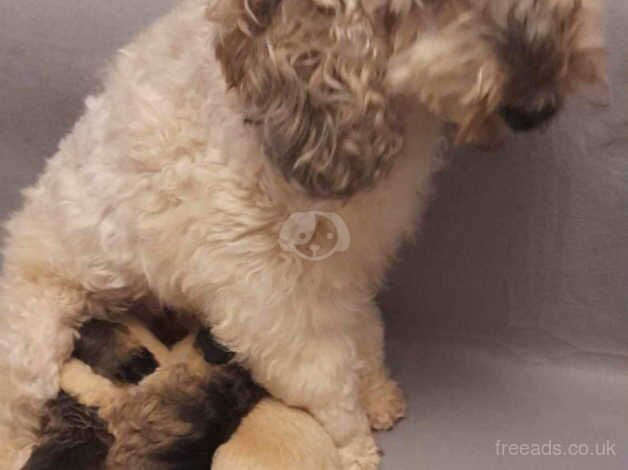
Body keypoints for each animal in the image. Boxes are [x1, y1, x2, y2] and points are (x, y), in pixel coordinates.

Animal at [1, 0, 608, 468]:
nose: (537, 107)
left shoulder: (347, 272)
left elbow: (366, 338)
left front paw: (379, 397)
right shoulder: (269, 300)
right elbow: (324, 376)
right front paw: (355, 444)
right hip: (34, 345)